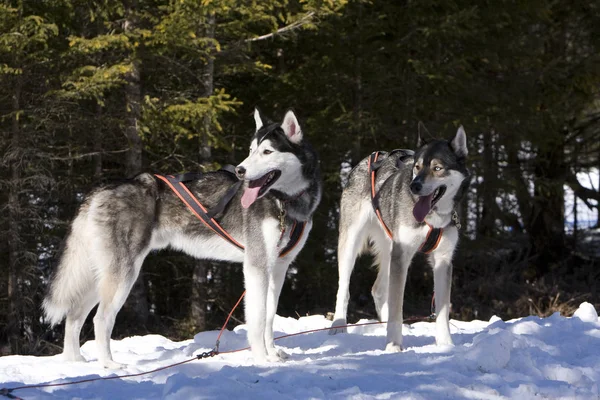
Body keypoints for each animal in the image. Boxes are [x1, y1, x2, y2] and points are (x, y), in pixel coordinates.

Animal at [44, 108, 322, 366]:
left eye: (267, 152)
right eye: (251, 150)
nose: (240, 171)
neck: (285, 202)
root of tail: (101, 190)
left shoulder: (278, 268)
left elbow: (270, 317)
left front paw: (273, 353)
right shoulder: (257, 266)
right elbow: (258, 316)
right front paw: (262, 359)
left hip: (99, 274)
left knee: (74, 315)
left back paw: (75, 362)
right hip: (123, 274)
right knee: (100, 318)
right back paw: (109, 364)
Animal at [330, 125, 466, 350]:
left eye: (437, 168)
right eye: (417, 167)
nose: (415, 186)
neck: (431, 218)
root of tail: (371, 157)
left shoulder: (443, 260)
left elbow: (442, 311)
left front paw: (446, 345)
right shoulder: (402, 255)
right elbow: (397, 307)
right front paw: (393, 345)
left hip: (389, 249)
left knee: (378, 290)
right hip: (352, 245)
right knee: (344, 288)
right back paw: (338, 325)